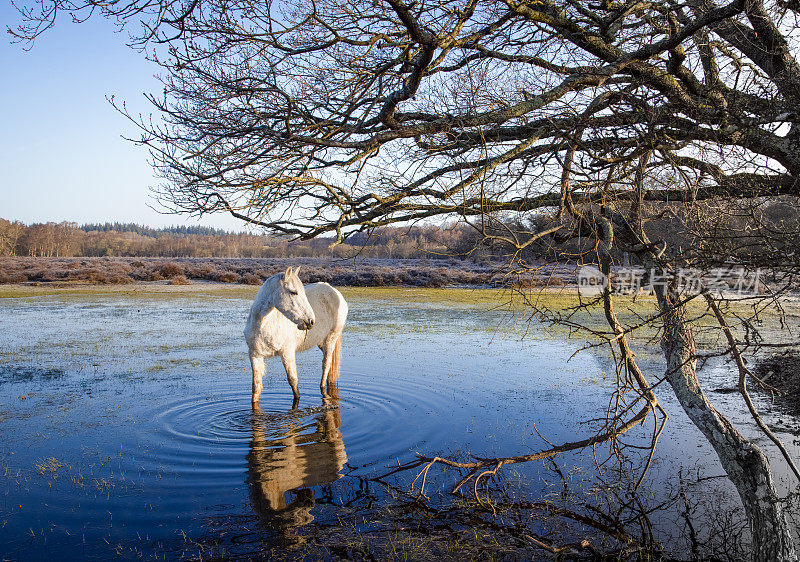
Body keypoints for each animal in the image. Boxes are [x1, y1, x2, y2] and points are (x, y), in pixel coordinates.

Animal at [242, 264, 346, 404]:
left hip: (331, 338)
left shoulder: (287, 353)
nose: (311, 321)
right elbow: (256, 387)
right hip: (321, 343)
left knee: (326, 364)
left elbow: (293, 382)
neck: (263, 325)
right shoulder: (255, 356)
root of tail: (334, 291)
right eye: (294, 292)